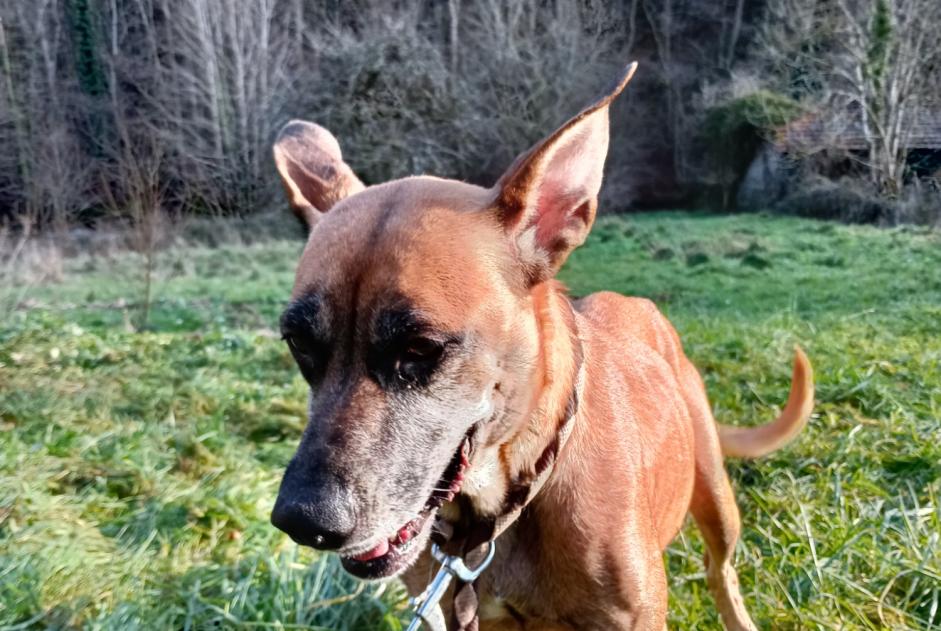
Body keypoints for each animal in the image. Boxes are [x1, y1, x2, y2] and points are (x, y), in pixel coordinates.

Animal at [268, 65, 812, 631]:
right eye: (298, 343)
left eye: (419, 349)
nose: (303, 520)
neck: (499, 511)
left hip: (717, 499)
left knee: (720, 570)